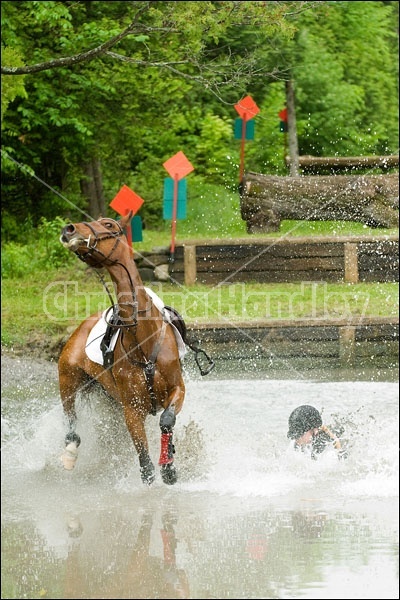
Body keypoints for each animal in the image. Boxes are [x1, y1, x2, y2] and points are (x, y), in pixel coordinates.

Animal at [58, 213, 187, 486]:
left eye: (108, 224)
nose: (68, 229)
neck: (144, 340)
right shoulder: (131, 409)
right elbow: (146, 466)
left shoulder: (177, 389)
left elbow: (166, 420)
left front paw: (169, 466)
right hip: (68, 379)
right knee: (71, 422)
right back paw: (70, 454)